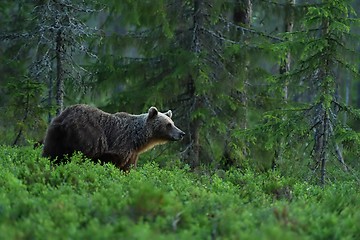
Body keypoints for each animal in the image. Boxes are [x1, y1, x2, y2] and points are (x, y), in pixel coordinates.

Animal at [42, 104, 186, 171]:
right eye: (168, 125)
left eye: (173, 123)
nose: (182, 133)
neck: (138, 140)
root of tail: (64, 118)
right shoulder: (120, 145)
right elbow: (111, 162)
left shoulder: (132, 153)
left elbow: (128, 168)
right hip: (84, 135)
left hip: (54, 134)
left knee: (51, 153)